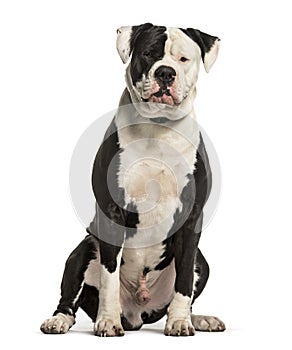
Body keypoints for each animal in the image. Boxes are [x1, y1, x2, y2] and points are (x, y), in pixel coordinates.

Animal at [40, 22, 225, 336]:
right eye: (149, 54)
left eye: (183, 59)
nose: (166, 73)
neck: (157, 128)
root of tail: (137, 314)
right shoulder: (111, 211)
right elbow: (109, 278)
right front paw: (108, 321)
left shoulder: (191, 218)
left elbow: (185, 281)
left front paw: (179, 321)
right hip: (83, 249)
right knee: (69, 300)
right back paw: (59, 320)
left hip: (203, 261)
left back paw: (200, 319)